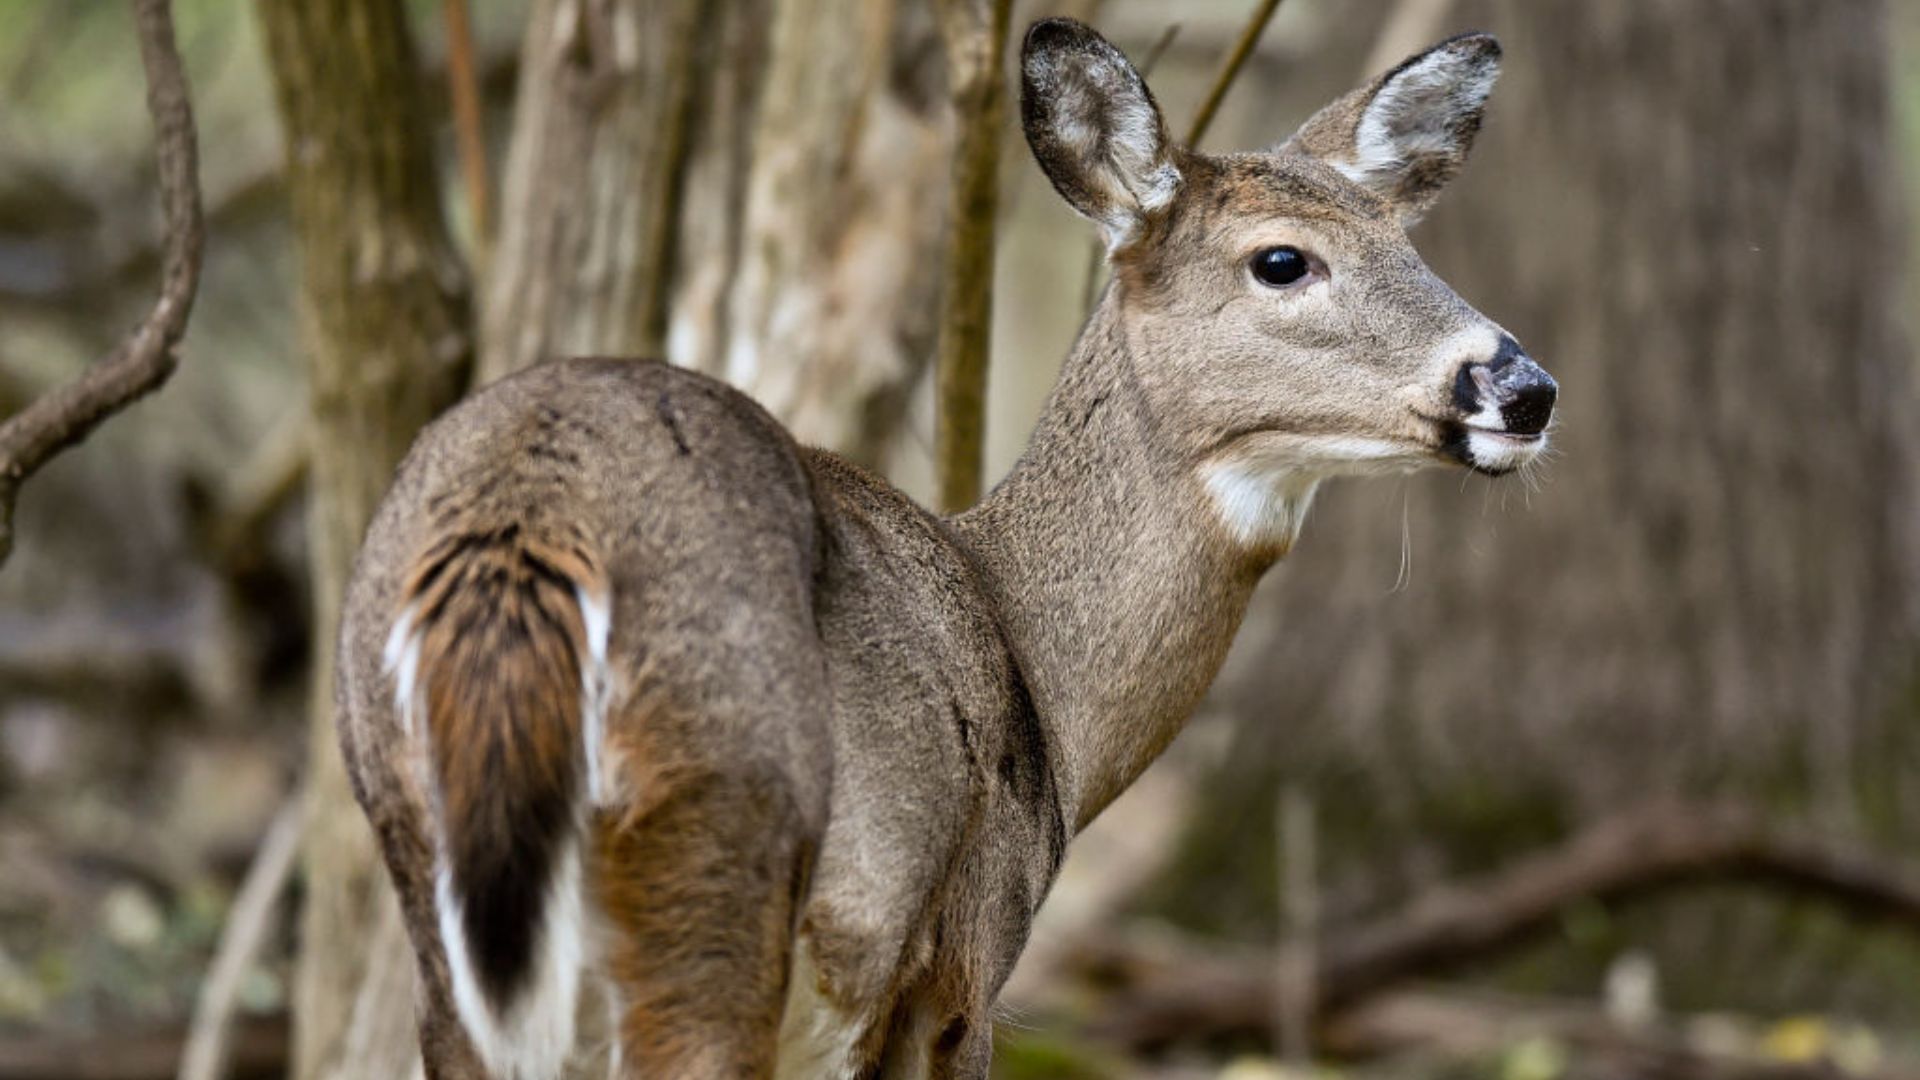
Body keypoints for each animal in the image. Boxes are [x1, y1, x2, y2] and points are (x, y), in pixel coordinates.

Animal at [335, 16, 1556, 1080]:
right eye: (1282, 261)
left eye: (1406, 242)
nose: (1524, 387)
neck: (1048, 696)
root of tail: (532, 521)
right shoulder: (961, 963)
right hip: (720, 851)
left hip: (435, 906)